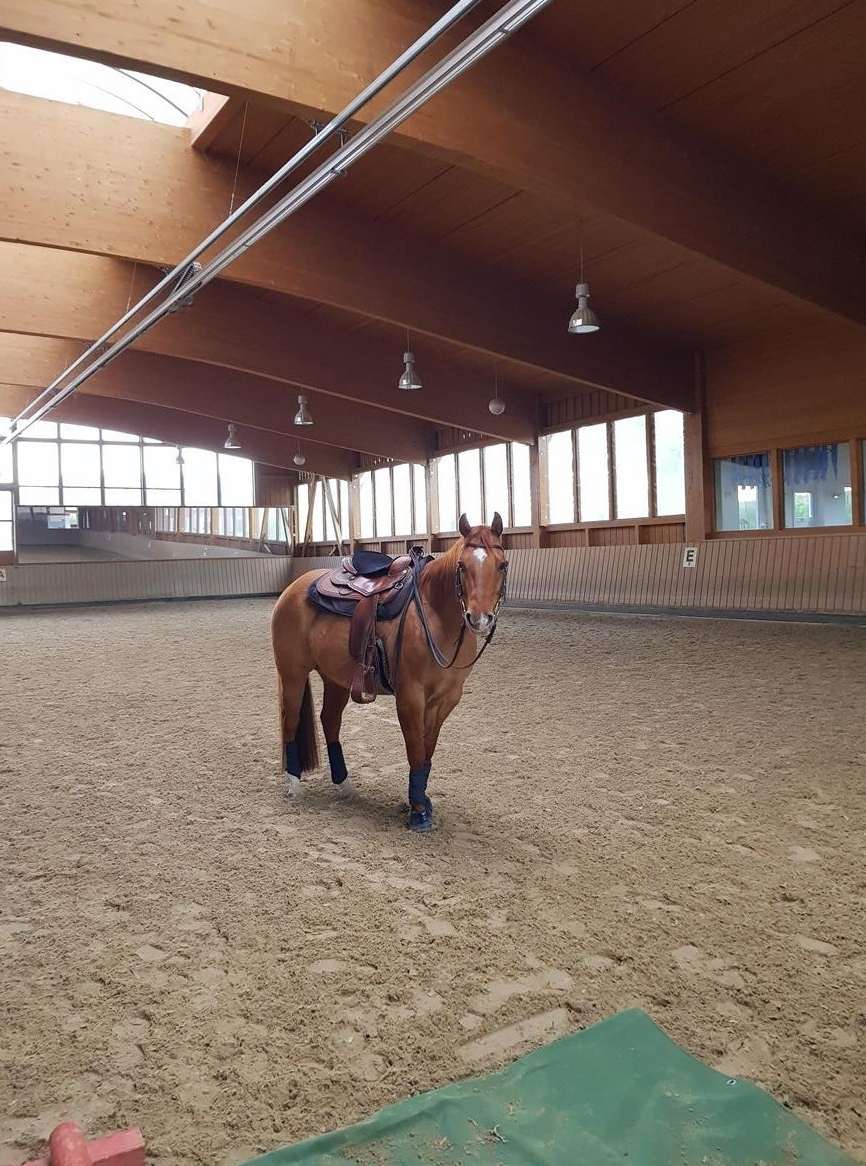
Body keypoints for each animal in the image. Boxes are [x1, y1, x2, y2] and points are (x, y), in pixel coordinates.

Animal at [270, 513, 508, 831]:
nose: (479, 618)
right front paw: (418, 812)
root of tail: (293, 587)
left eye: (502, 565)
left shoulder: (445, 700)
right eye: (461, 565)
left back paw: (345, 786)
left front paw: (423, 801)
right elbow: (416, 751)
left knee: (330, 721)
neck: (435, 615)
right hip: (293, 674)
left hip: (335, 679)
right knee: (291, 720)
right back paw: (294, 784)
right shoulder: (410, 696)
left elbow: (428, 750)